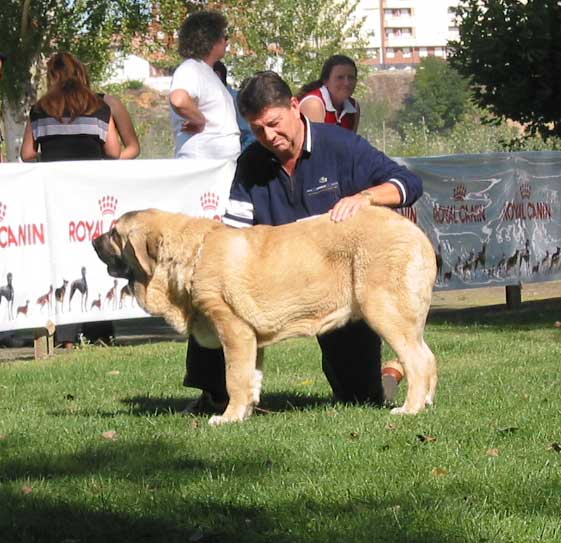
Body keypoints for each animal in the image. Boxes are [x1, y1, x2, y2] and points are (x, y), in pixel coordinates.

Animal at [94, 208, 438, 424]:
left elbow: (234, 378)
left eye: (114, 234)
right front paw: (244, 413)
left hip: (384, 312)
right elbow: (250, 378)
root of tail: (414, 232)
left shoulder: (234, 330)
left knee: (417, 362)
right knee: (429, 357)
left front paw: (228, 418)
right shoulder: (251, 340)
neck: (190, 257)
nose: (94, 239)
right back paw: (427, 402)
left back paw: (410, 409)